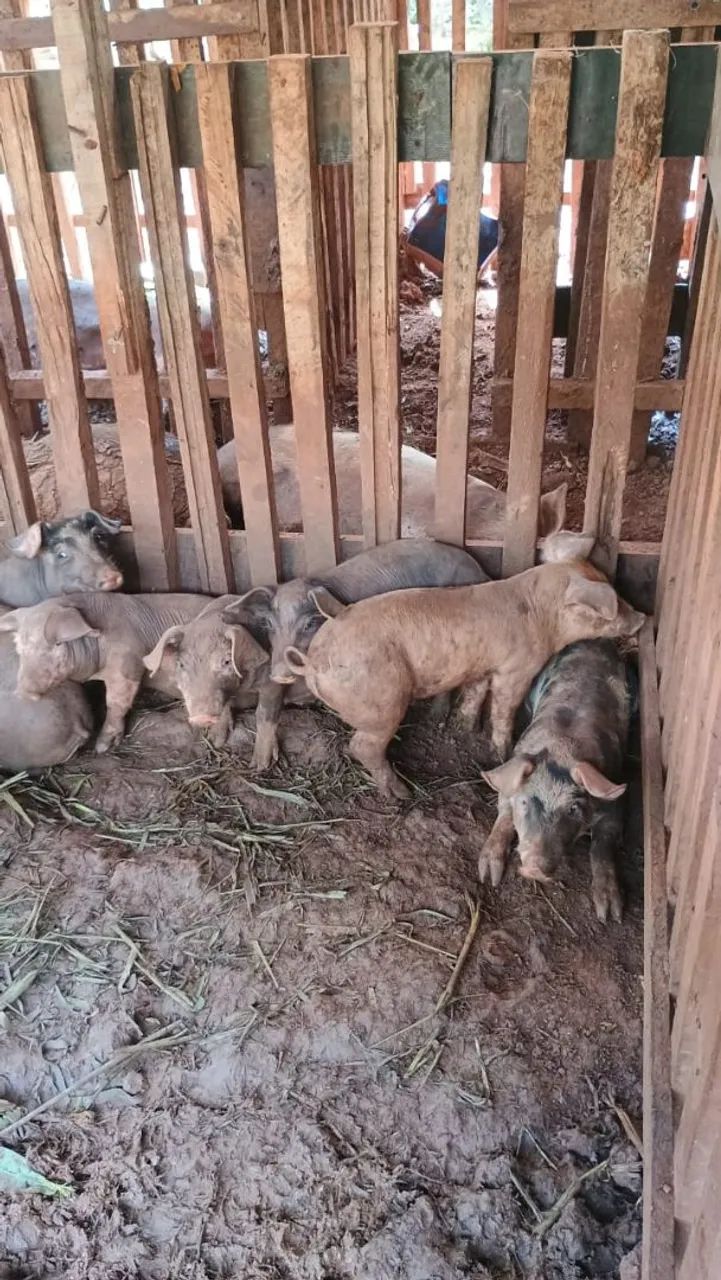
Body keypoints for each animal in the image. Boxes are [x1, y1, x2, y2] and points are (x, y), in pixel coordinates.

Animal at [0, 591, 212, 753]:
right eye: (20, 648)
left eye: (56, 645)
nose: (23, 691)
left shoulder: (128, 661)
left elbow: (116, 702)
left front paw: (101, 747)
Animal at [283, 560, 645, 799]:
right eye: (611, 603)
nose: (643, 617)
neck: (541, 616)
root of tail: (312, 663)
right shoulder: (515, 669)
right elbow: (503, 708)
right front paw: (502, 751)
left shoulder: (482, 668)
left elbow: (474, 695)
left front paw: (463, 728)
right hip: (382, 701)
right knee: (364, 745)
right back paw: (401, 794)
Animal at [478, 639, 636, 922]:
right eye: (525, 803)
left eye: (572, 808)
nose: (535, 868)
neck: (562, 746)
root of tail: (594, 642)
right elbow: (504, 816)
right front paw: (488, 876)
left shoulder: (614, 802)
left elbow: (603, 846)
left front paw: (610, 914)